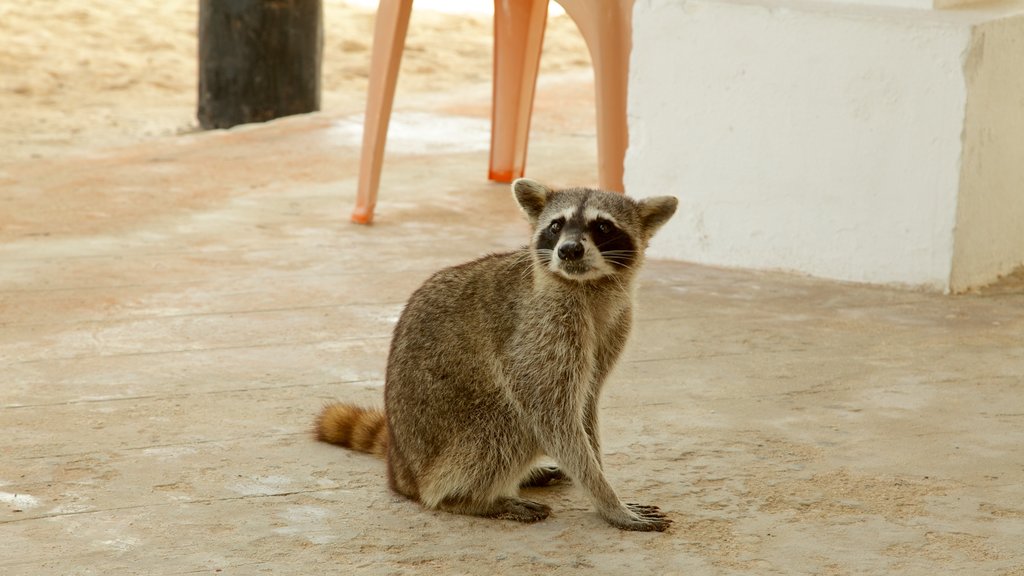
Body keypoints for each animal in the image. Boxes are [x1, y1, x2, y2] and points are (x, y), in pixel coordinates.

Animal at [315, 178, 675, 528]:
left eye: (602, 226)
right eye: (556, 226)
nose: (569, 250)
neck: (591, 286)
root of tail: (402, 472)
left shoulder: (616, 323)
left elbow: (586, 402)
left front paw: (599, 476)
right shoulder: (540, 326)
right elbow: (550, 411)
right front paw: (605, 498)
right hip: (452, 440)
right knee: (511, 420)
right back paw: (469, 498)